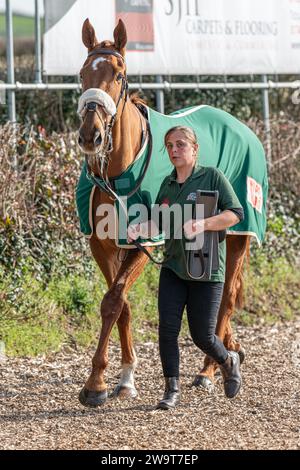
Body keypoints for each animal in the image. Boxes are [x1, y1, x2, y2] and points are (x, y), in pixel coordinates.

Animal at [77, 17, 248, 408]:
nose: (90, 136)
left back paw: (209, 369)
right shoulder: (103, 245)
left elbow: (112, 301)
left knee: (227, 294)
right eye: (81, 74)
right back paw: (231, 346)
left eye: (119, 74)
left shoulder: (147, 242)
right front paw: (125, 378)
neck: (118, 173)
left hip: (241, 232)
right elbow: (121, 303)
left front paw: (95, 384)